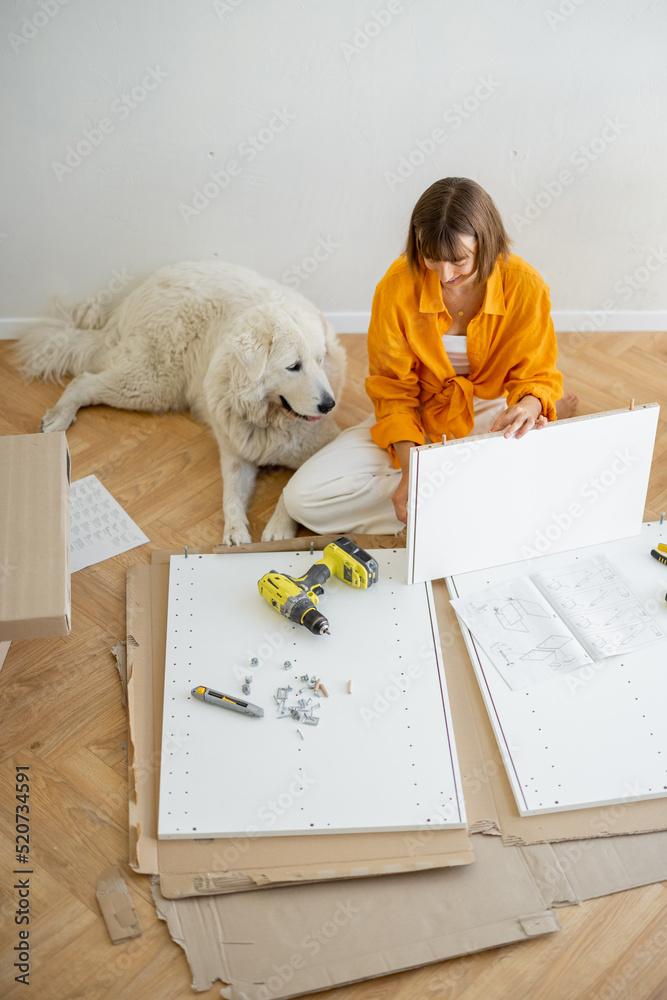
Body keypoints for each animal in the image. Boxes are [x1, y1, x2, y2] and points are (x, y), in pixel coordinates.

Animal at [16, 258, 348, 540]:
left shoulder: (322, 448)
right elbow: (230, 496)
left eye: (320, 360)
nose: (328, 405)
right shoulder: (235, 453)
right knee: (83, 381)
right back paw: (59, 417)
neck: (269, 418)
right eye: (294, 366)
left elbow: (292, 488)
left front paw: (277, 528)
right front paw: (235, 531)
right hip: (153, 385)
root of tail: (141, 291)